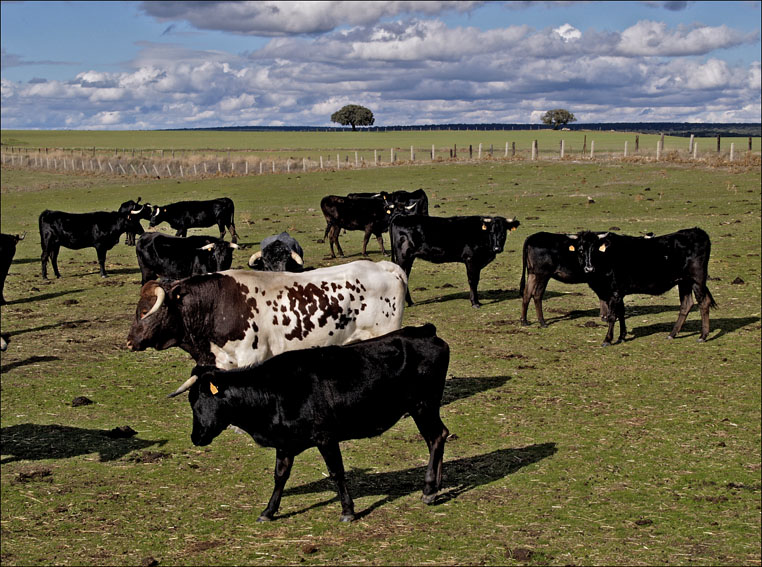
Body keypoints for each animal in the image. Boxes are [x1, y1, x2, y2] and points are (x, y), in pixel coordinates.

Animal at [169, 324, 448, 524]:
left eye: (197, 400)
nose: (196, 436)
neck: (273, 391)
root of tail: (425, 331)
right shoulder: (285, 444)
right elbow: (280, 475)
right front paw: (268, 511)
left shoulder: (326, 437)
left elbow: (336, 472)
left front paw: (348, 511)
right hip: (424, 408)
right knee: (437, 437)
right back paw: (436, 484)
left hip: (423, 405)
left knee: (436, 436)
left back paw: (429, 489)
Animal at [572, 230, 716, 346]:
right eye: (580, 250)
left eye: (595, 250)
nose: (589, 268)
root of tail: (698, 231)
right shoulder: (619, 293)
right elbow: (621, 313)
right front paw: (622, 337)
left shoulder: (614, 293)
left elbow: (612, 316)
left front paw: (607, 340)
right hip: (684, 282)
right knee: (686, 304)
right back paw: (672, 334)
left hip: (697, 279)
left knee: (703, 303)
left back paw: (703, 336)